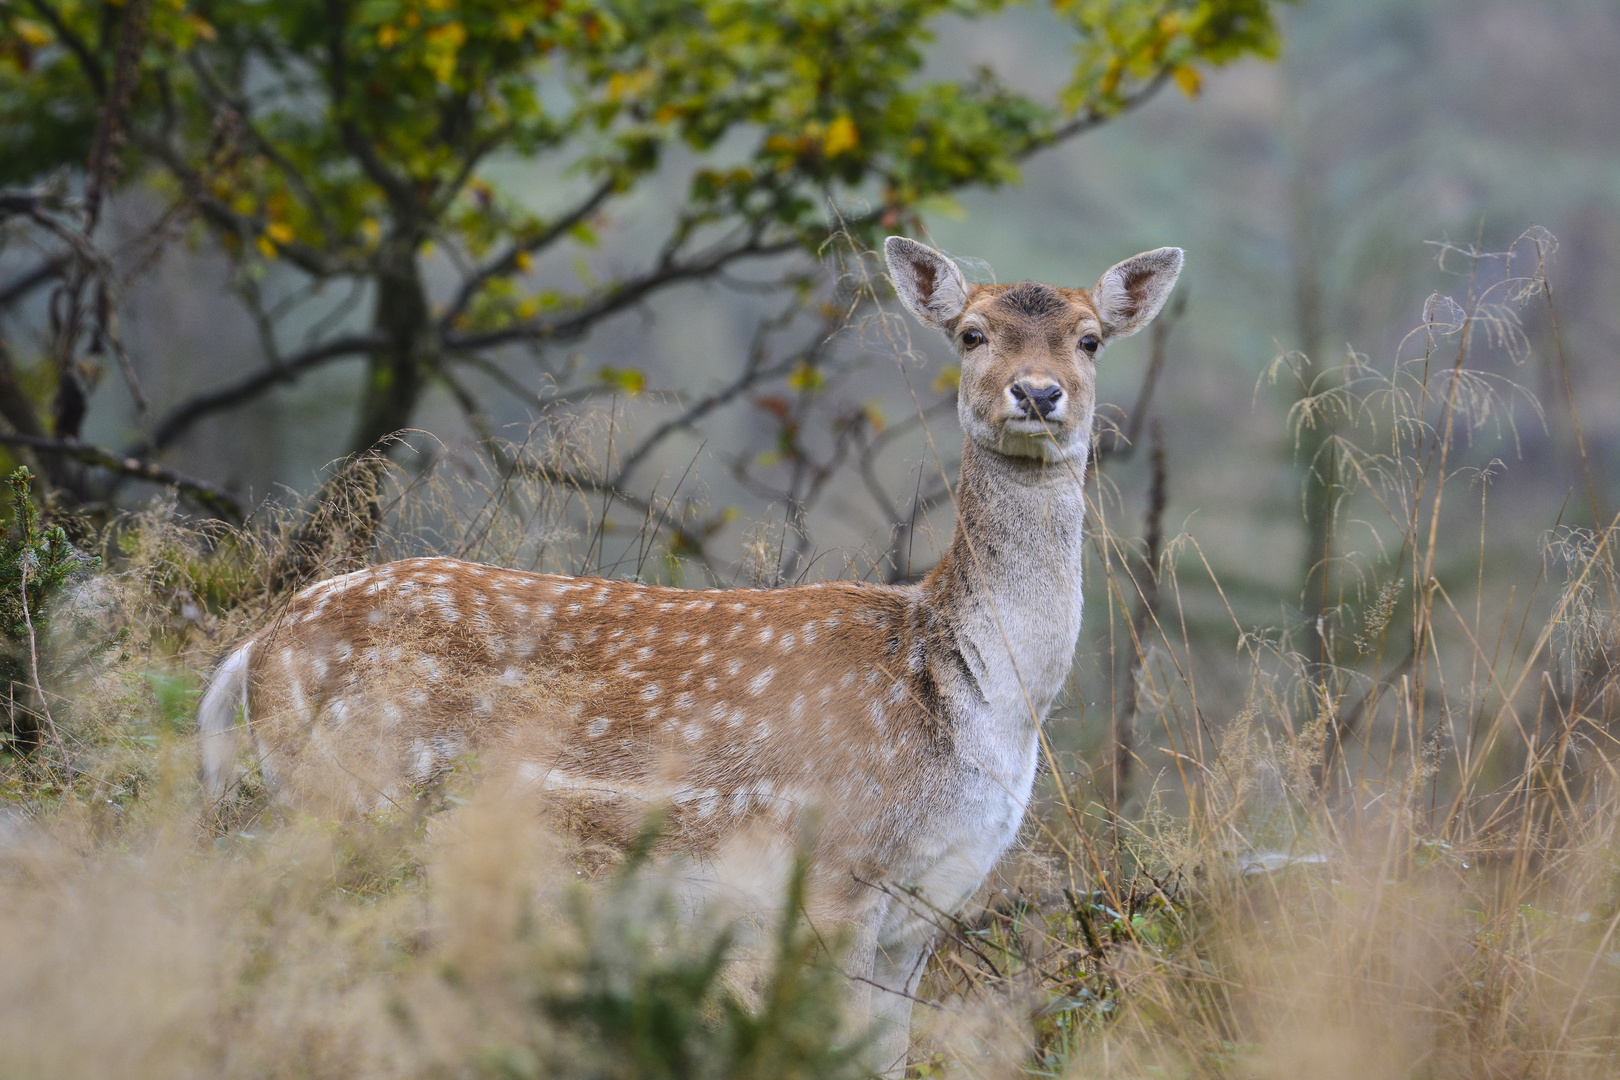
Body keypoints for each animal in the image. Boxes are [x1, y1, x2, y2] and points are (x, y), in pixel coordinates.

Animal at [196, 238, 1185, 1080]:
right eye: (972, 333)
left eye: (1091, 339)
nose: (1038, 394)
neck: (969, 700)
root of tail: (255, 650)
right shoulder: (832, 869)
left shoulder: (925, 908)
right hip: (344, 798)